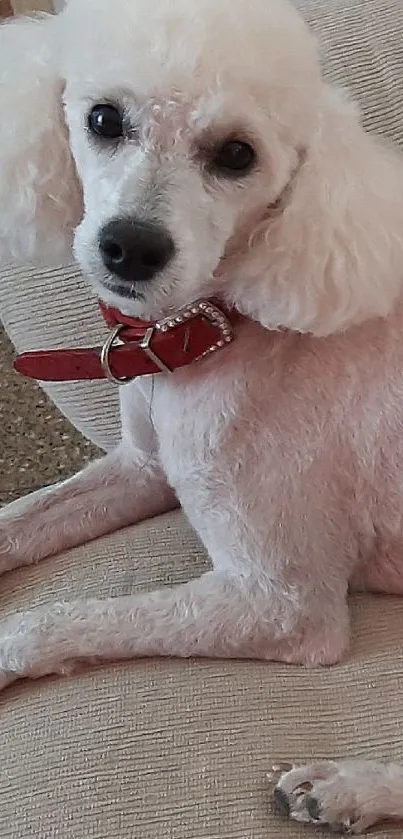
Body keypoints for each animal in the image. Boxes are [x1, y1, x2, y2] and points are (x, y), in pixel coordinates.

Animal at [1, 0, 403, 832]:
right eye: (102, 118)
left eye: (236, 154)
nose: (130, 247)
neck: (213, 327)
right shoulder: (142, 467)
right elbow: (21, 520)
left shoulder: (280, 603)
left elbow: (58, 618)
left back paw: (350, 784)